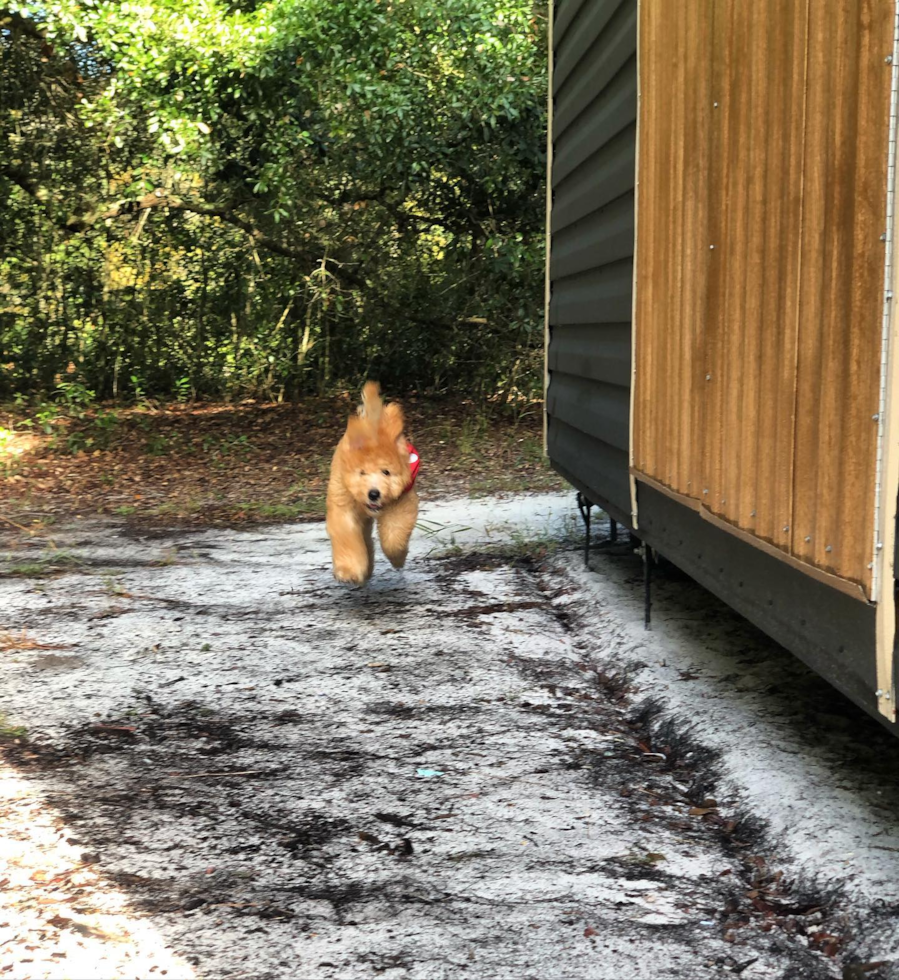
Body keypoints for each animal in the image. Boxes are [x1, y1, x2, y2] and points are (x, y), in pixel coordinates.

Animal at [326, 380, 420, 580]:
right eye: (362, 473)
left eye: (386, 472)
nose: (374, 494)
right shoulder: (343, 504)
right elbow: (347, 535)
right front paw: (349, 570)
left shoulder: (402, 502)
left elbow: (394, 534)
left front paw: (397, 558)